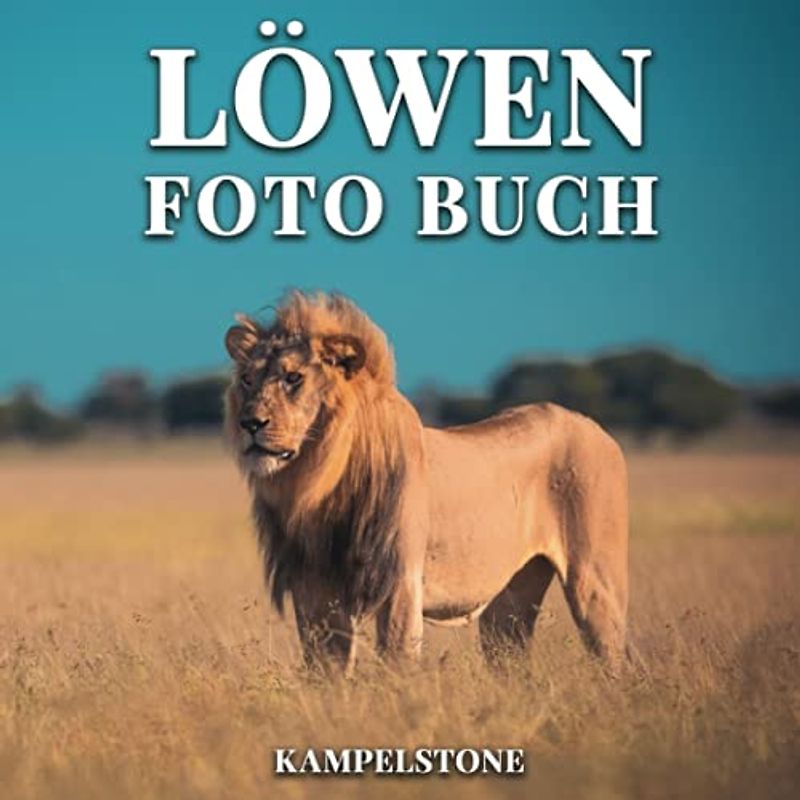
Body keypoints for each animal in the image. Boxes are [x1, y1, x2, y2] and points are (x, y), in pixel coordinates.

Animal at [224, 291, 628, 672]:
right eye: (246, 380)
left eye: (293, 378)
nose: (250, 423)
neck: (319, 484)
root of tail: (596, 427)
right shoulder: (315, 588)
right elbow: (328, 672)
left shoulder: (400, 582)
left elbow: (397, 665)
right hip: (509, 604)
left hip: (594, 583)